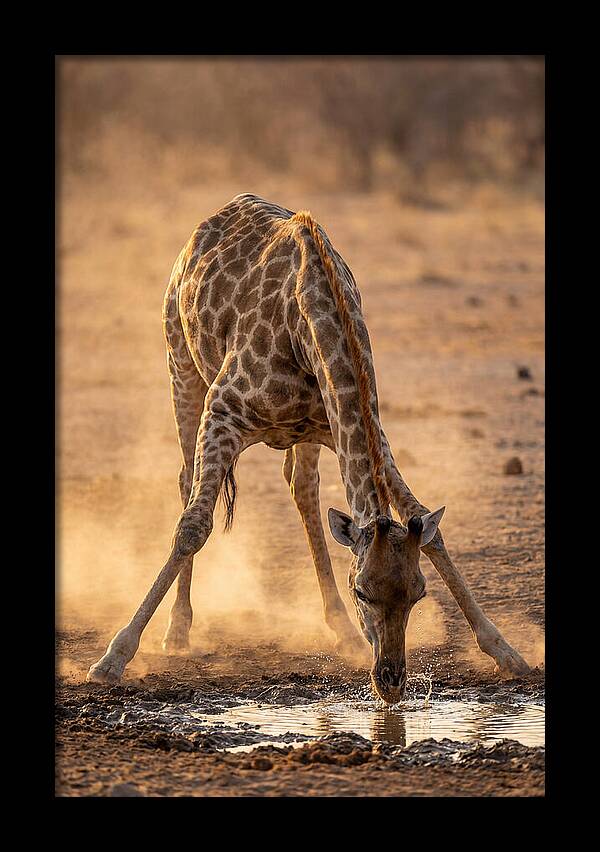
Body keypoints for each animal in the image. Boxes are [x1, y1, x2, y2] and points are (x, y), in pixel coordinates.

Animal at [86, 193, 530, 699]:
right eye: (362, 590)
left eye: (418, 592)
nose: (391, 681)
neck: (312, 323)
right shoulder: (222, 412)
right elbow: (193, 527)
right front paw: (114, 657)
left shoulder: (359, 428)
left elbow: (429, 530)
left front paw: (506, 651)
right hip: (180, 366)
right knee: (186, 484)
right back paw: (178, 631)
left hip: (305, 434)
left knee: (302, 489)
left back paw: (341, 631)